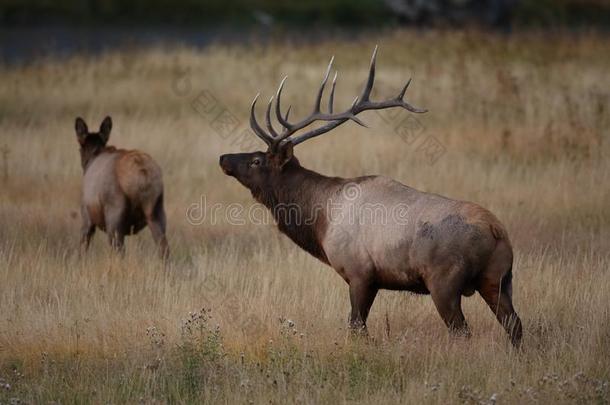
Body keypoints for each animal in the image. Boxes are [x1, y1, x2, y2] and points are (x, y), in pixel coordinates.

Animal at [74, 116, 169, 262]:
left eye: (80, 149)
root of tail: (142, 174)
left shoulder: (86, 217)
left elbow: (82, 248)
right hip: (157, 211)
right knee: (164, 249)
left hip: (114, 216)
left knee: (119, 251)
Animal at [218, 46, 524, 344]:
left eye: (256, 160)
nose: (223, 158)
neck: (320, 221)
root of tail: (497, 231)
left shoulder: (360, 273)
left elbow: (357, 328)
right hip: (498, 279)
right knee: (515, 325)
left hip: (444, 281)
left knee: (462, 330)